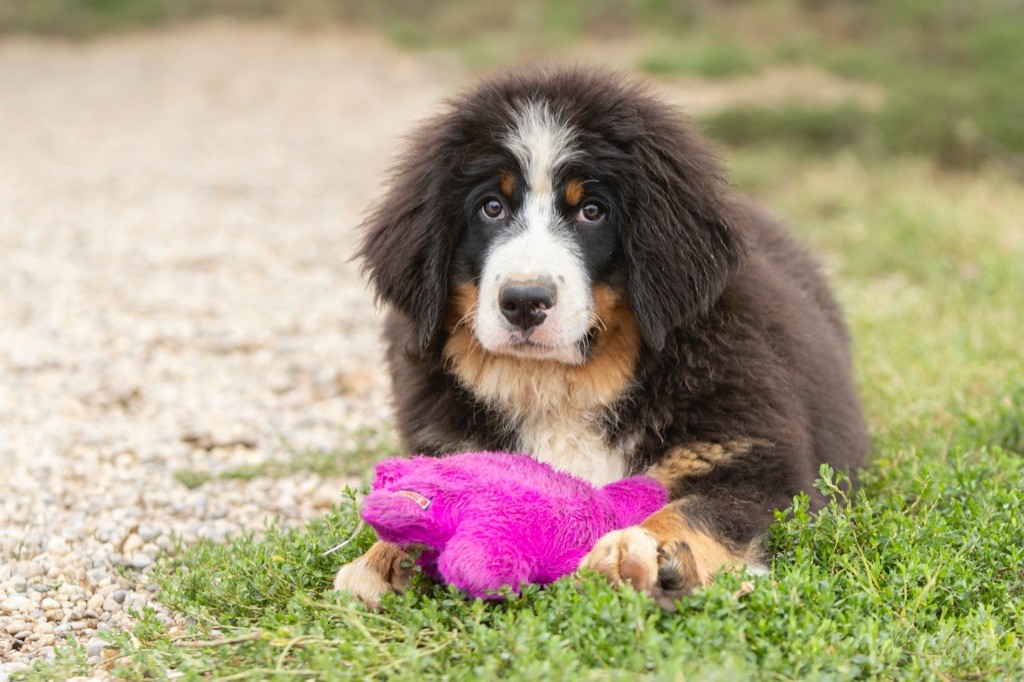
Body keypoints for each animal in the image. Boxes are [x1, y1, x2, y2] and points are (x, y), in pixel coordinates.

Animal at [331, 66, 868, 606]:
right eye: (491, 208)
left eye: (592, 211)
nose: (524, 301)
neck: (563, 385)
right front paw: (383, 555)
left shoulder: (752, 459)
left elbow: (698, 509)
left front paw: (647, 550)